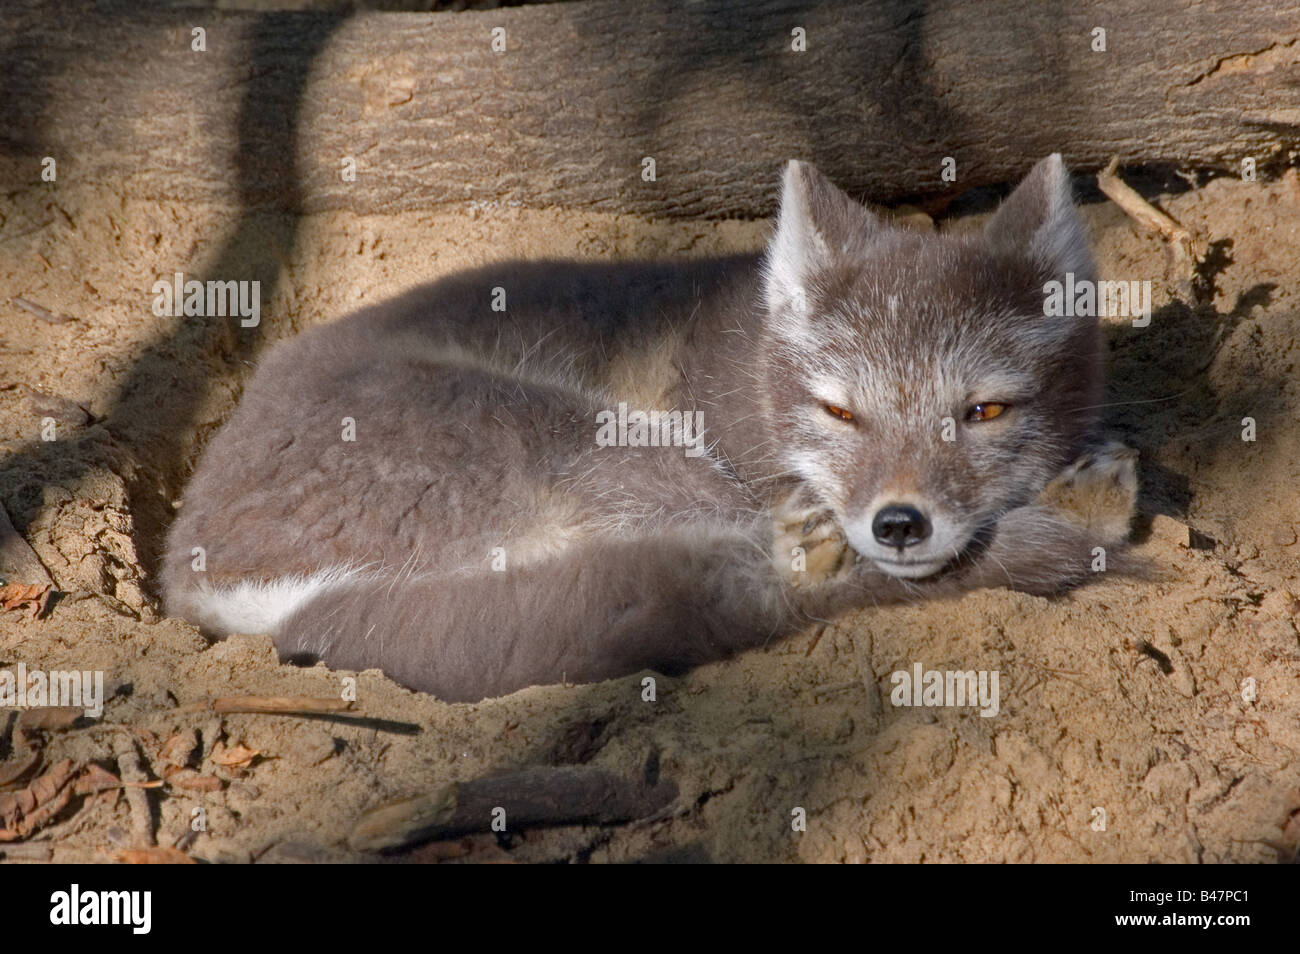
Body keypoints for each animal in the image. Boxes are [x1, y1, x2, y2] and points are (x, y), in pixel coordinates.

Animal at [161, 154, 1138, 702]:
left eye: (984, 412)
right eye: (839, 411)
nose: (899, 523)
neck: (747, 377)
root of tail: (194, 577)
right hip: (592, 440)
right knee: (753, 582)